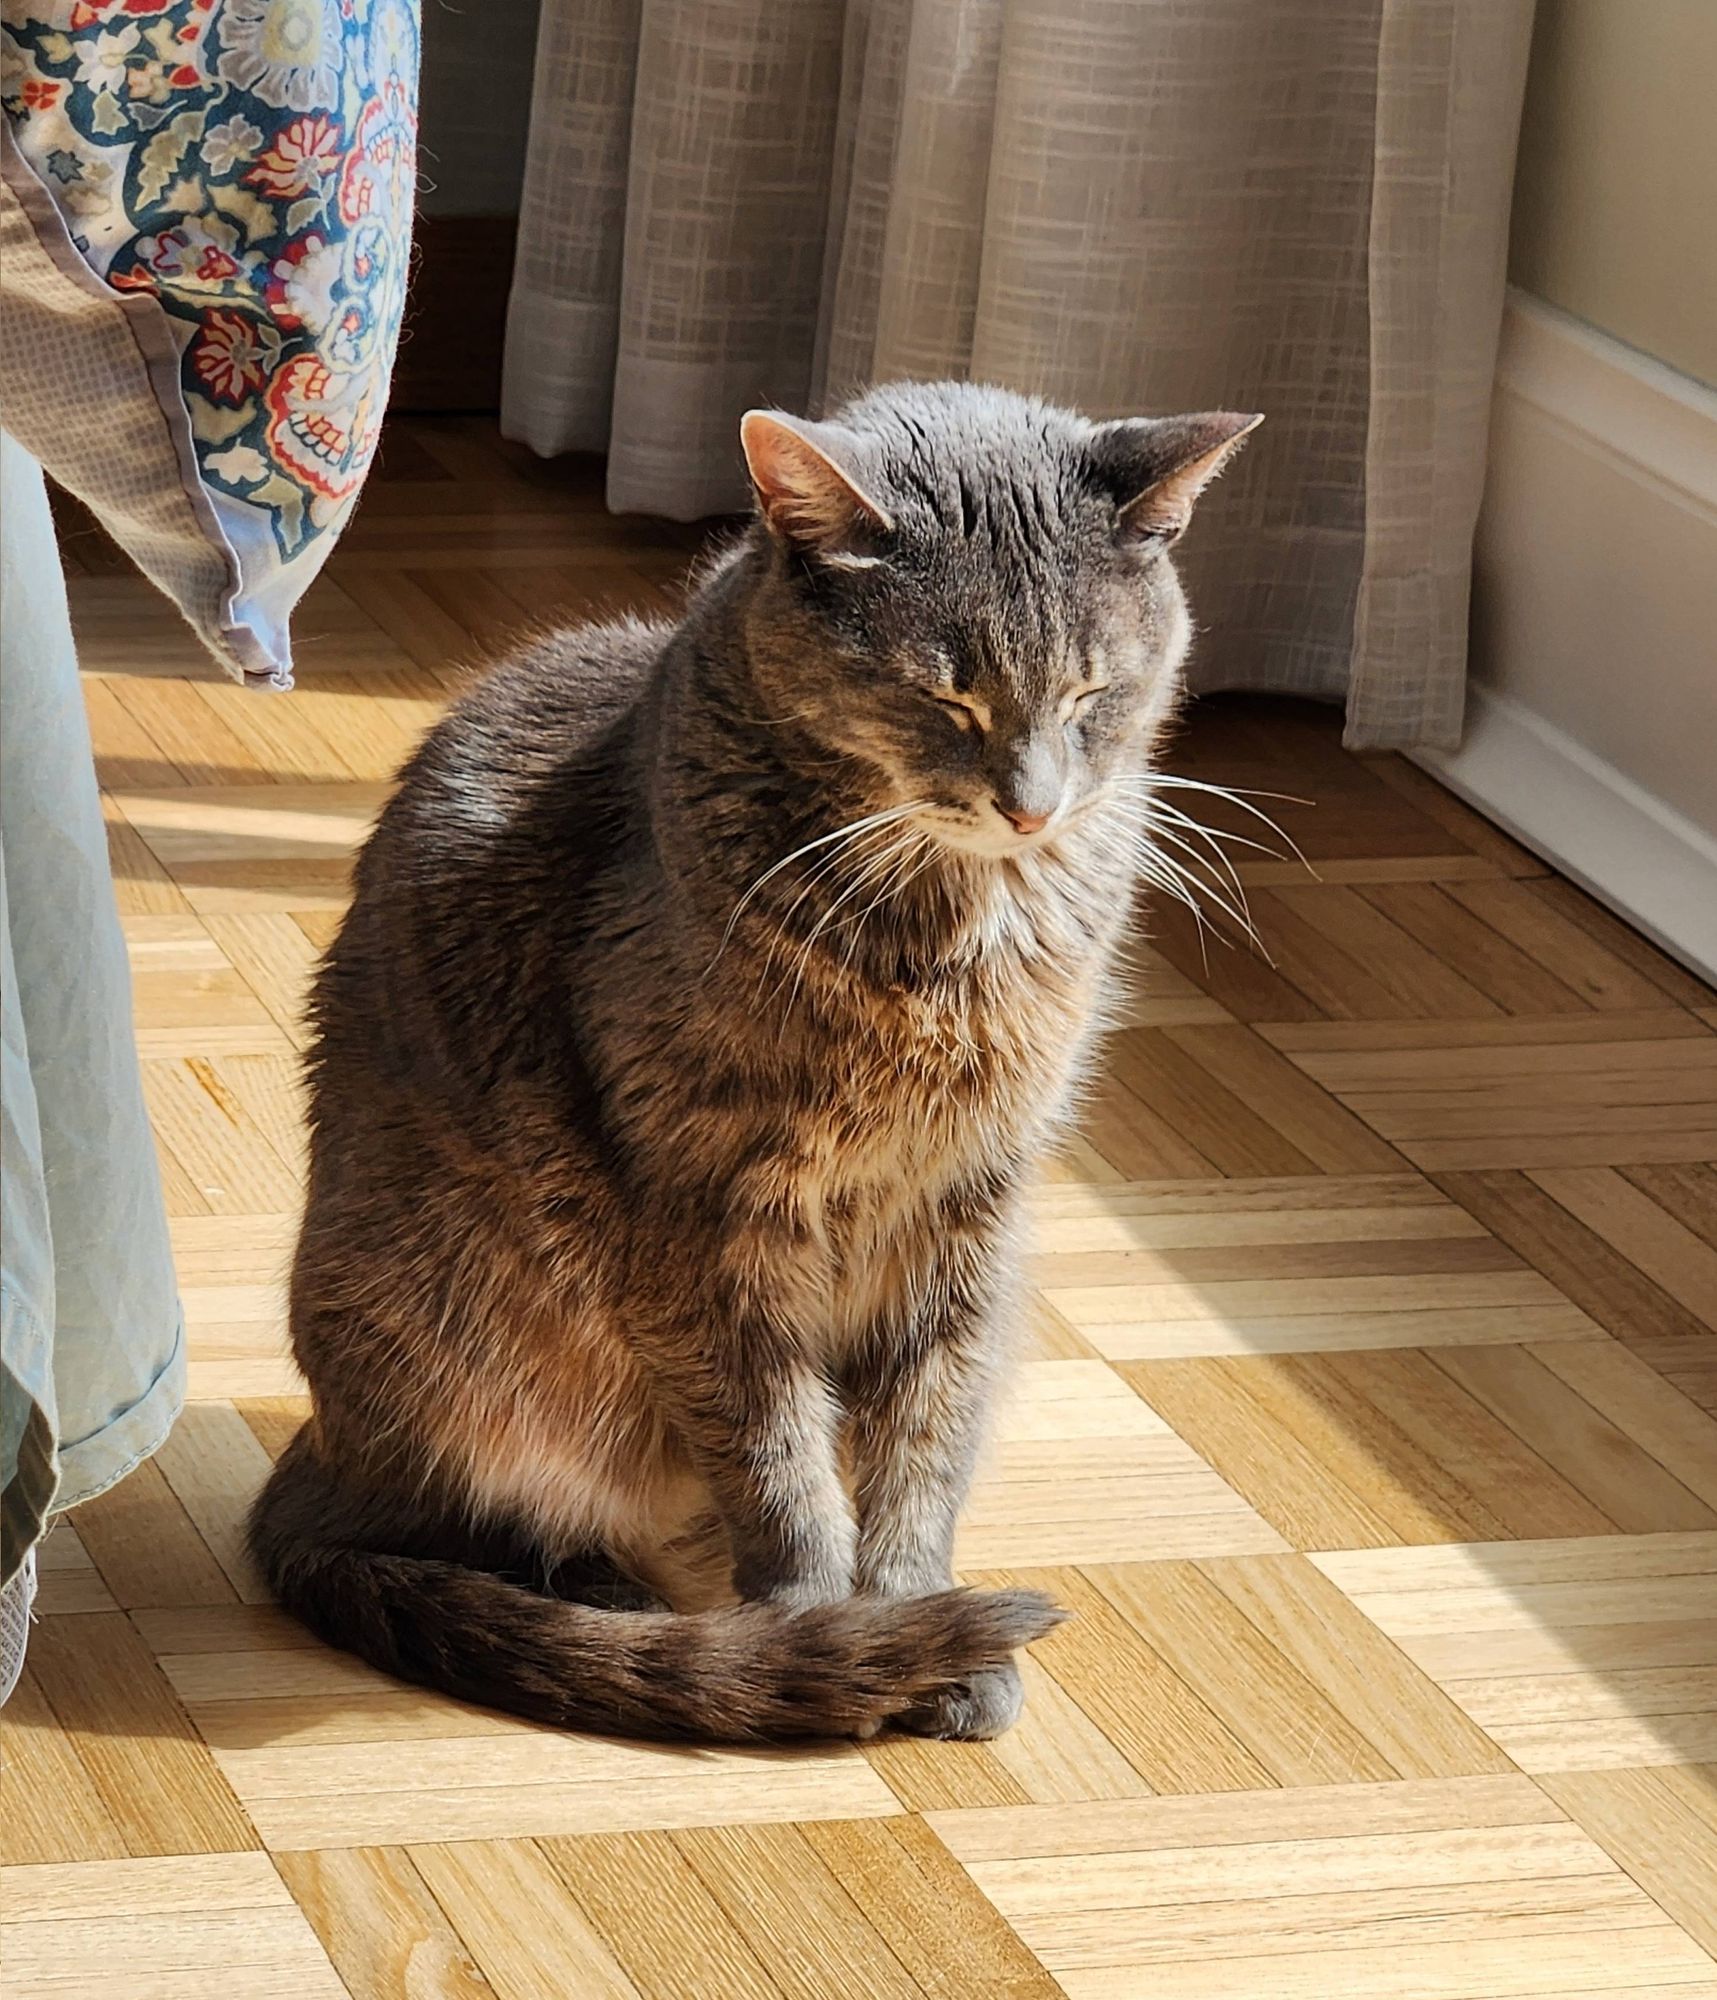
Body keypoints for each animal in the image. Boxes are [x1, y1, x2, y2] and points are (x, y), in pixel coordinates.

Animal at [244, 382, 1256, 1744]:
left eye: (1094, 692)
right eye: (947, 700)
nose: (1033, 805)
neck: (945, 944)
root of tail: (319, 1451)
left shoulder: (971, 1204)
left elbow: (923, 1435)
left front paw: (912, 1614)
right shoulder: (706, 1215)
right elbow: (777, 1454)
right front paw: (831, 1635)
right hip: (456, 1326)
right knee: (460, 1531)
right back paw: (630, 1603)